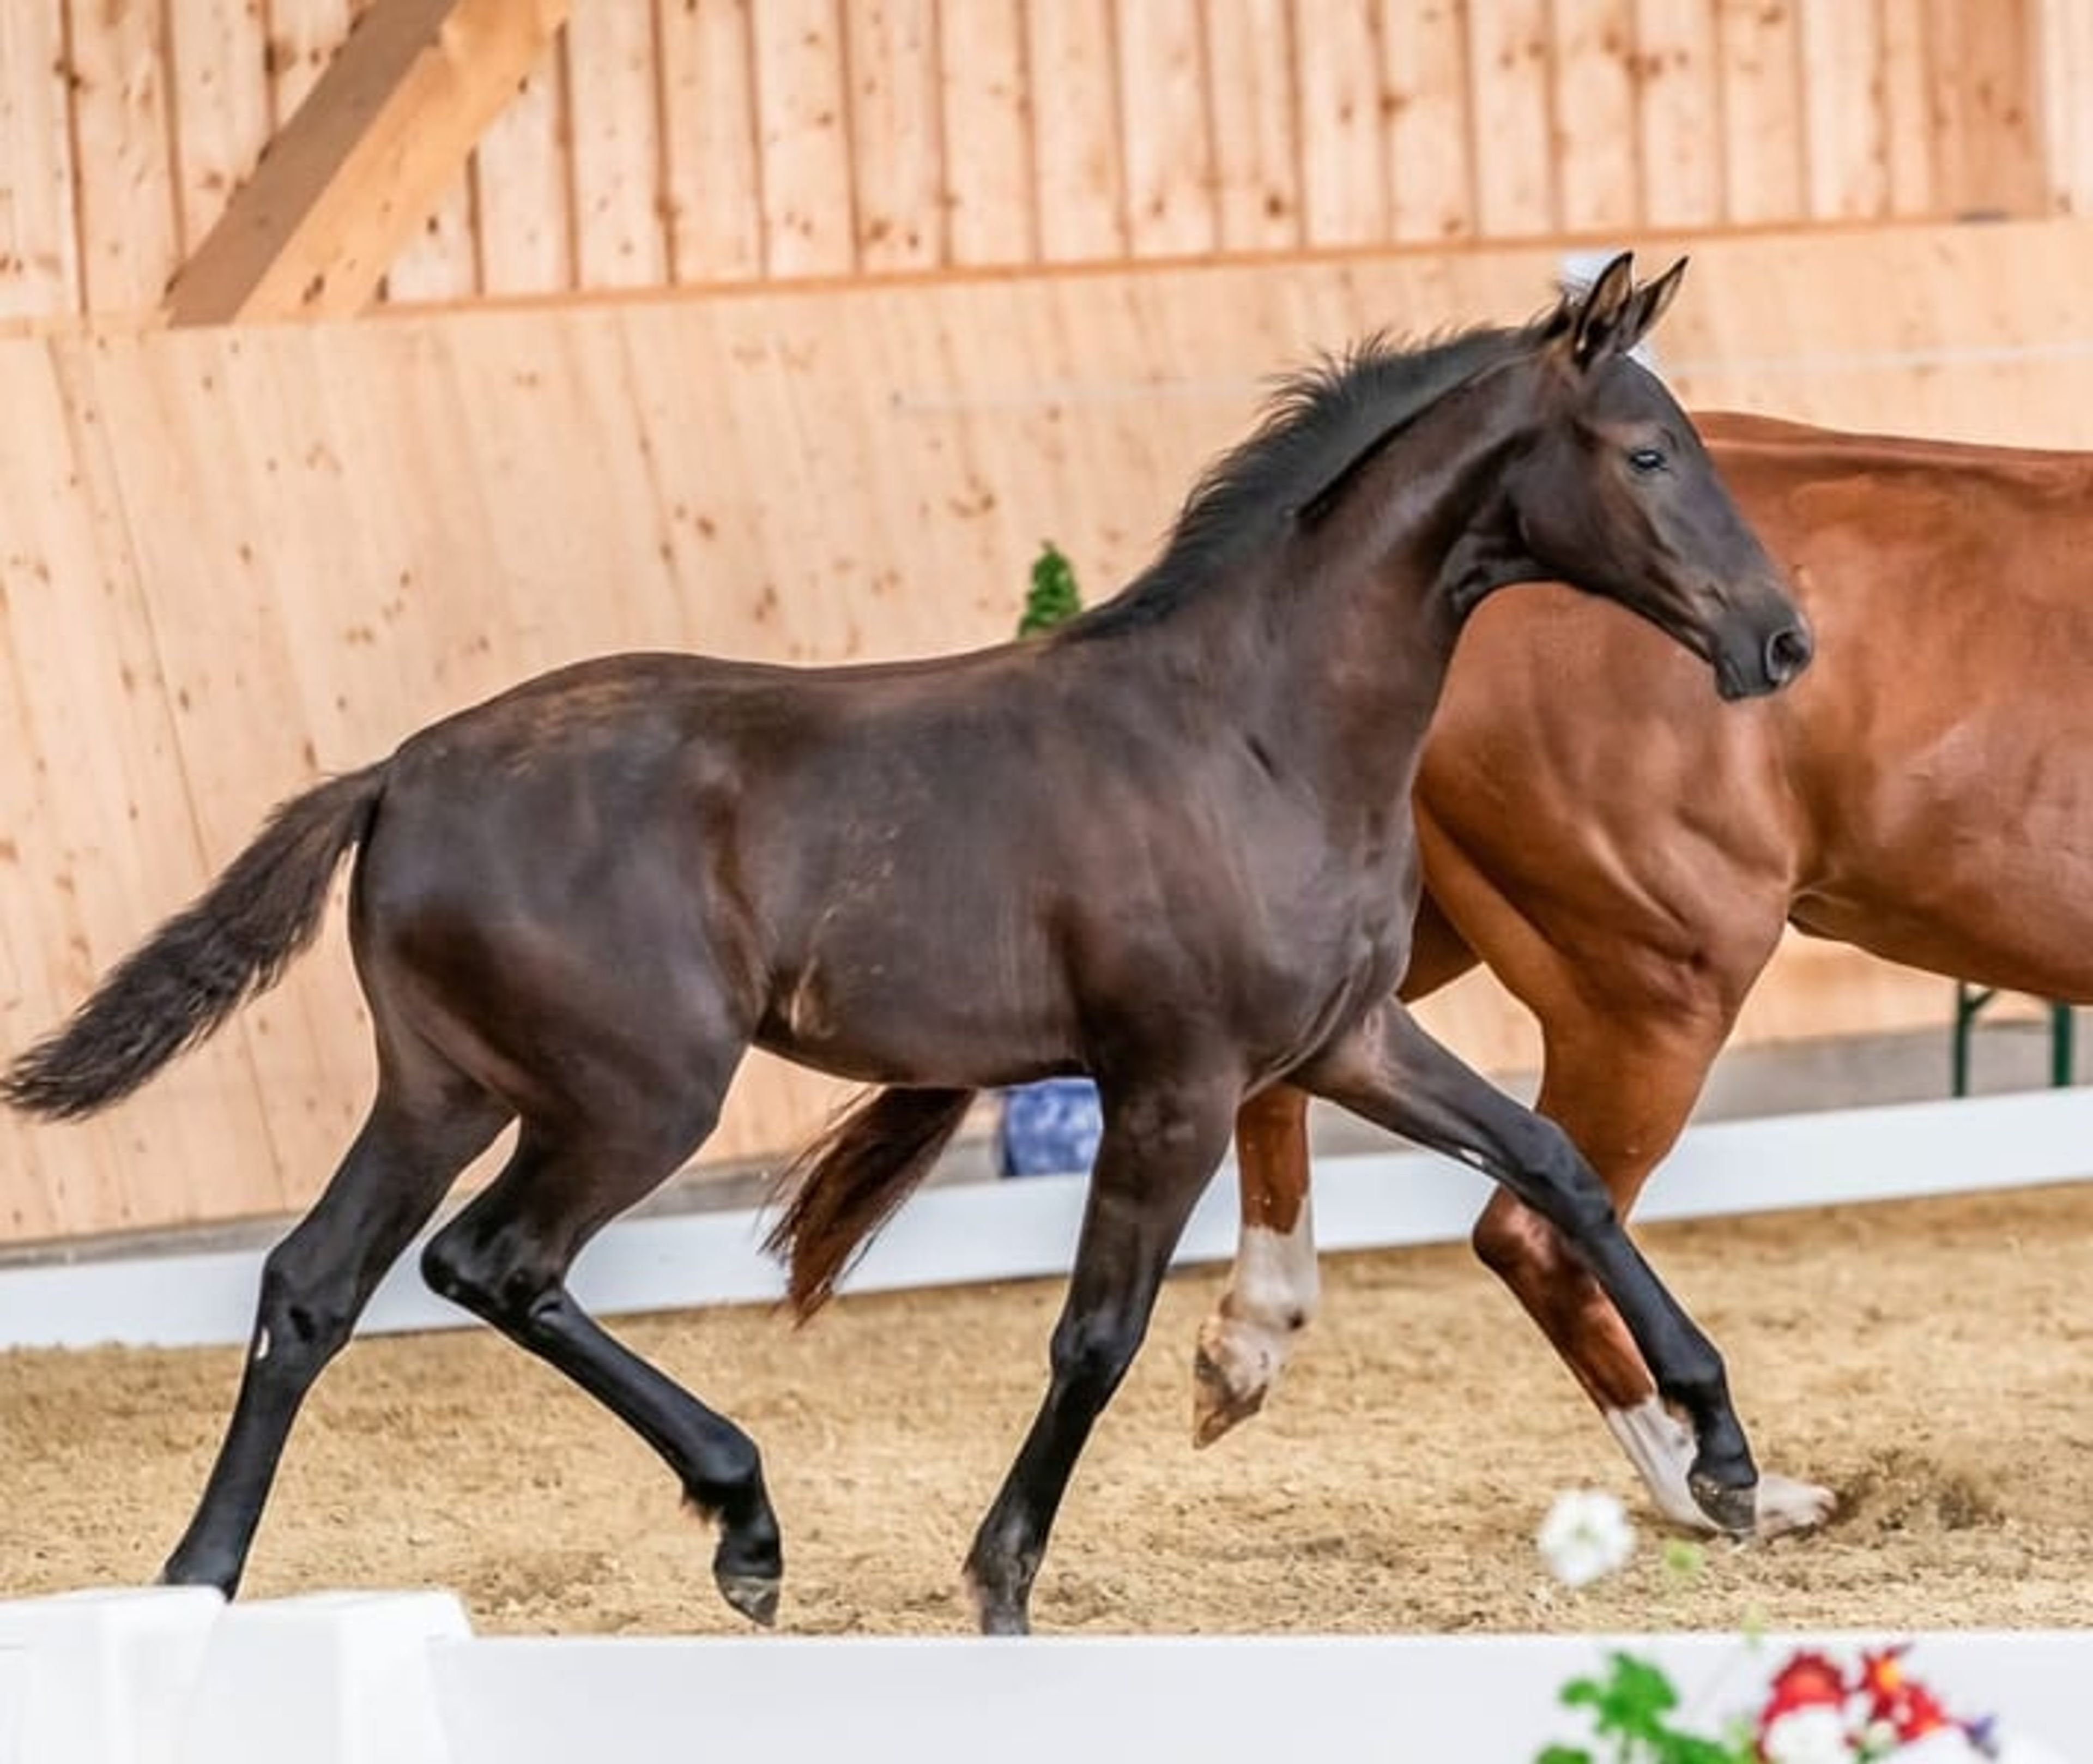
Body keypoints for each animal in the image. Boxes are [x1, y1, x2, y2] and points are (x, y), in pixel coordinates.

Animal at [3, 255, 1810, 1636]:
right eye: (1647, 454)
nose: (1782, 638)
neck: (1254, 731)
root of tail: (395, 774)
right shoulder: (1173, 1077)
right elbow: (1097, 1328)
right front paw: (999, 1579)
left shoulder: (1347, 1036)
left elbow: (1559, 1171)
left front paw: (1725, 1454)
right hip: (627, 1095)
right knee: (490, 1264)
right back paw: (742, 1523)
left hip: (443, 1086)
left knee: (313, 1286)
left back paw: (200, 1582)